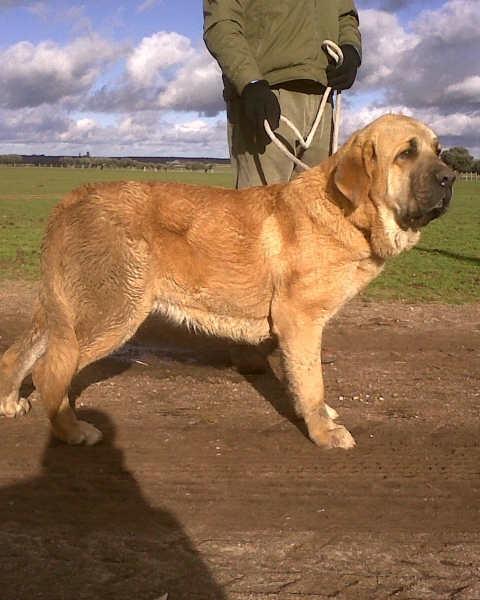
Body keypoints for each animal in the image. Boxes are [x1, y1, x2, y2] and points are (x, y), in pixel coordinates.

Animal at [0, 115, 454, 448]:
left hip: (65, 311)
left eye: (438, 151)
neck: (347, 211)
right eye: (406, 153)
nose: (449, 178)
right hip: (113, 313)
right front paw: (324, 433)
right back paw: (73, 431)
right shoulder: (300, 322)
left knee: (17, 355)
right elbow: (311, 384)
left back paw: (9, 403)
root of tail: (72, 198)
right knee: (49, 373)